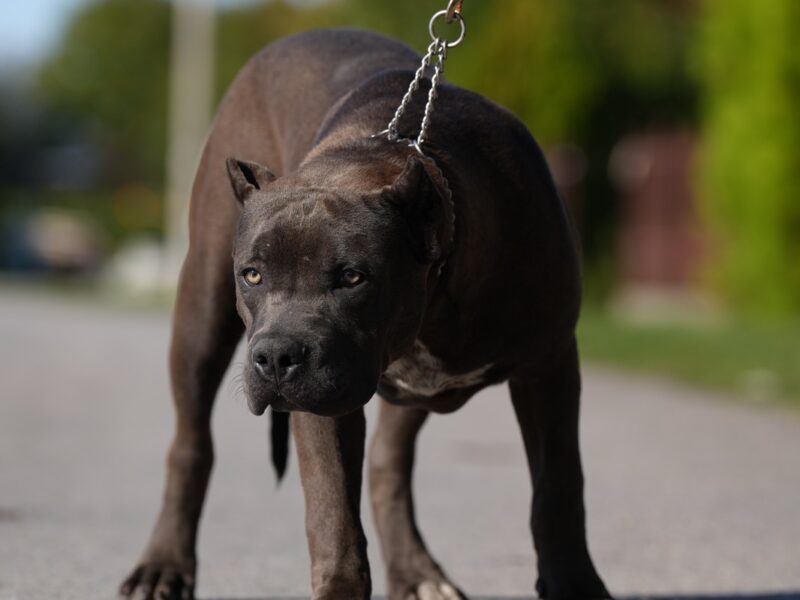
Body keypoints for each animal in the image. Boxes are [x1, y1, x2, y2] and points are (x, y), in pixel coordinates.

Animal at [120, 27, 608, 600]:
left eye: (353, 277)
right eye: (253, 275)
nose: (275, 357)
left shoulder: (548, 365)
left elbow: (558, 488)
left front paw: (574, 584)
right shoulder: (321, 403)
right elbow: (334, 519)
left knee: (387, 463)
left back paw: (417, 573)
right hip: (201, 314)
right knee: (191, 444)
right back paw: (163, 566)